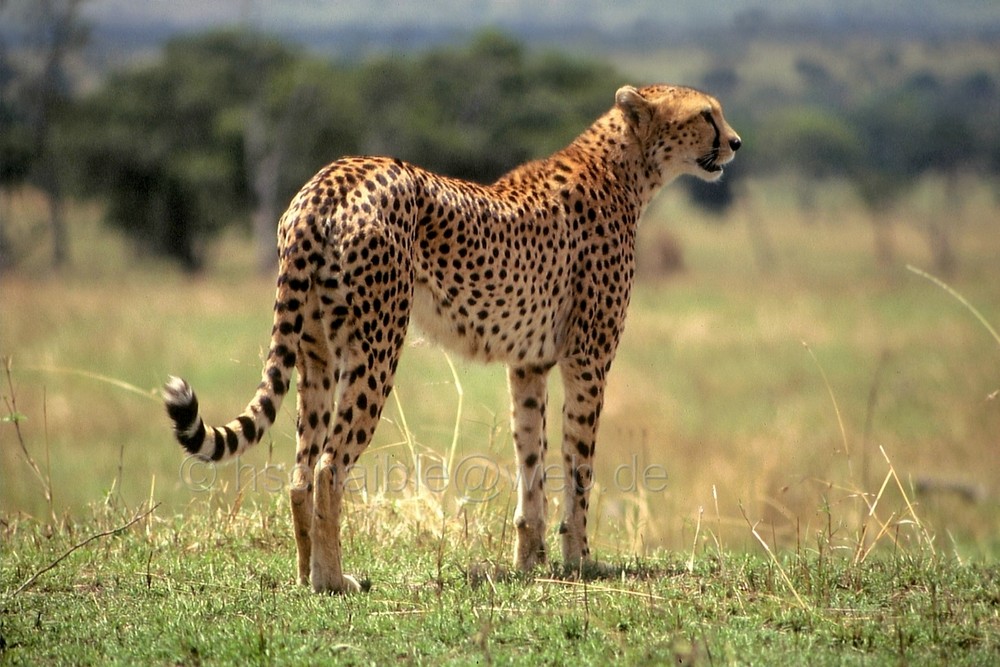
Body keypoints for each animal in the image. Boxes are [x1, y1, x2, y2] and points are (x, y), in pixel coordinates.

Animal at [166, 85, 744, 596]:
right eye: (705, 115)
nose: (736, 143)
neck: (626, 168)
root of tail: (328, 182)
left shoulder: (528, 365)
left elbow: (531, 462)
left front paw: (530, 563)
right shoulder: (588, 360)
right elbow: (579, 465)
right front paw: (579, 560)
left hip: (317, 355)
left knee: (301, 472)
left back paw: (306, 572)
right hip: (376, 347)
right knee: (330, 467)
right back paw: (333, 581)